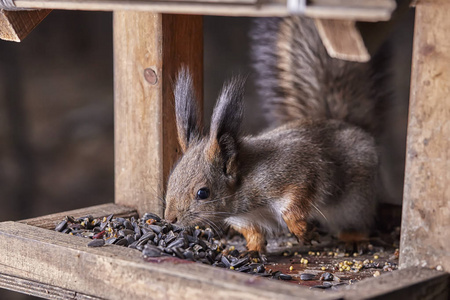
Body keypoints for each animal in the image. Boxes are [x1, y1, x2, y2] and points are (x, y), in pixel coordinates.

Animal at [163, 16, 388, 253]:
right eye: (171, 180)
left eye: (203, 193)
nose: (170, 219)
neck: (244, 182)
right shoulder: (244, 218)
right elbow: (252, 231)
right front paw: (252, 251)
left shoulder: (293, 171)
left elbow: (295, 203)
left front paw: (301, 230)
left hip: (356, 202)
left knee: (356, 221)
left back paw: (353, 237)